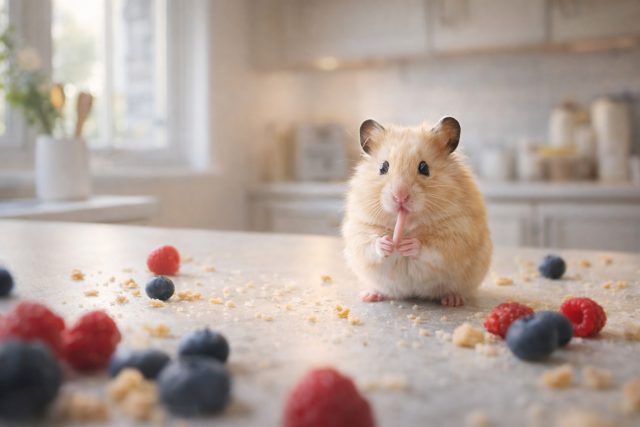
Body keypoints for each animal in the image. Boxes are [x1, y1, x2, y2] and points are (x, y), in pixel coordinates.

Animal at [342, 117, 492, 307]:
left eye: (424, 168)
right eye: (383, 167)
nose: (400, 197)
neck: (406, 223)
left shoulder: (457, 232)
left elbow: (432, 248)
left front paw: (408, 244)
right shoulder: (360, 226)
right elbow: (369, 243)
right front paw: (387, 243)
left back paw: (453, 300)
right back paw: (370, 295)